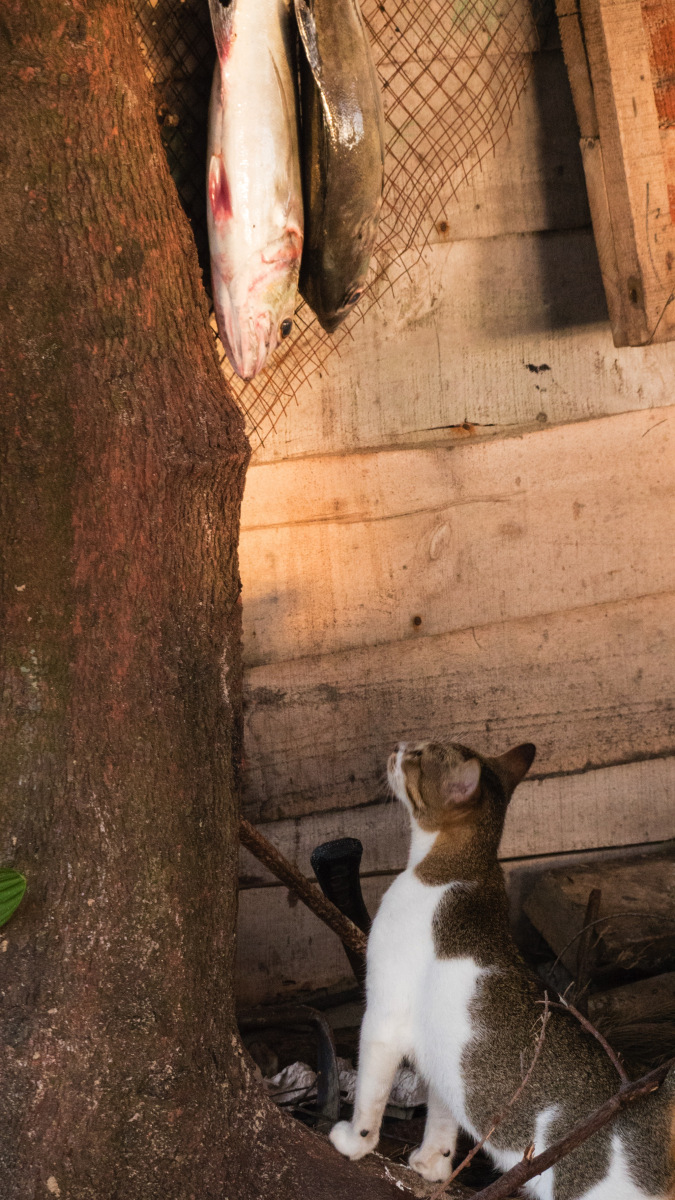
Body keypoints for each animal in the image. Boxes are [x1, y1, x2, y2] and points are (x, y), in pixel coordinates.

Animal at [329, 739, 675, 1199]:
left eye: (420, 755)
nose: (399, 746)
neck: (463, 866)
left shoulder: (383, 1014)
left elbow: (371, 1094)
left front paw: (354, 1142)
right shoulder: (445, 1054)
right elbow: (443, 1112)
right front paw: (433, 1165)